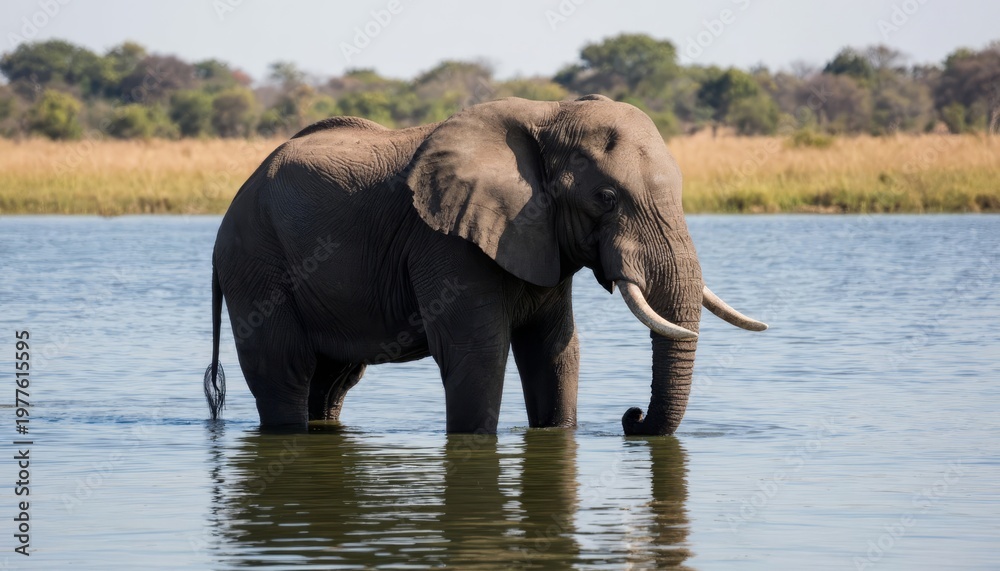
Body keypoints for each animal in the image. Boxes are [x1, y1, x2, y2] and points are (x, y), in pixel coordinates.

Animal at [204, 94, 766, 435]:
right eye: (605, 198)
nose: (631, 416)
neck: (548, 115)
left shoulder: (539, 238)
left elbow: (554, 351)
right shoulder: (445, 241)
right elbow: (478, 354)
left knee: (334, 378)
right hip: (255, 263)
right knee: (284, 370)